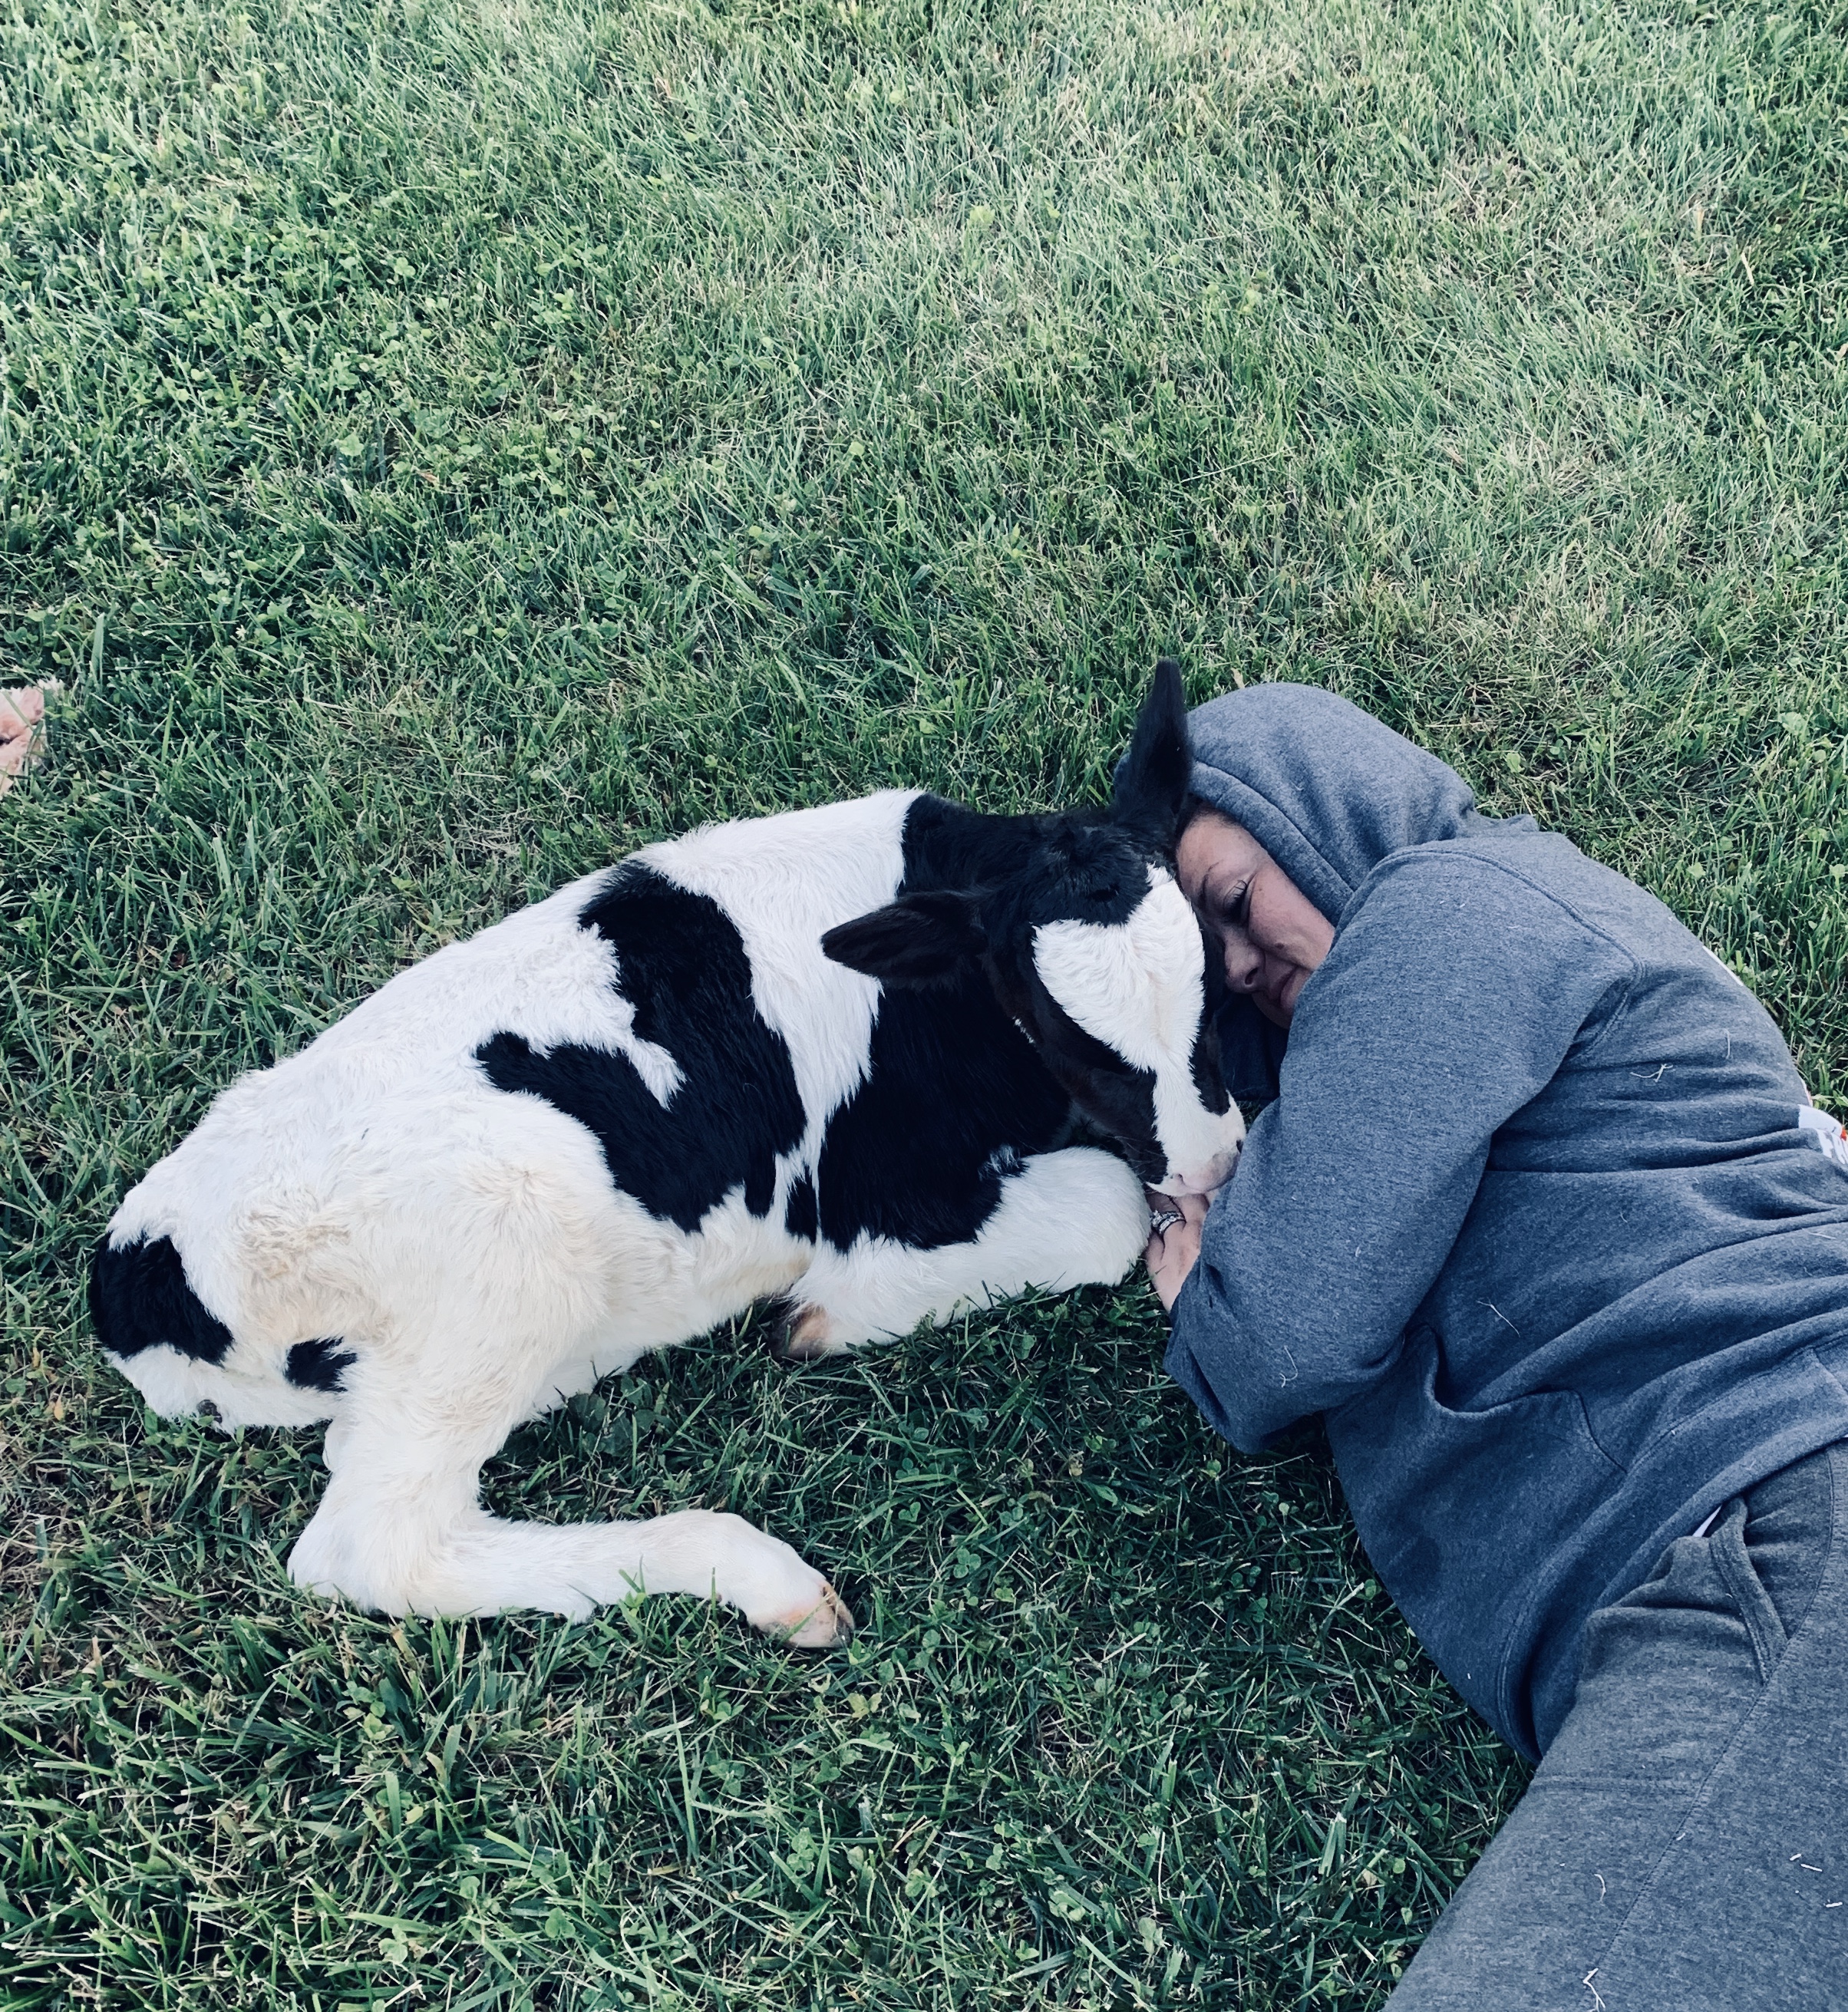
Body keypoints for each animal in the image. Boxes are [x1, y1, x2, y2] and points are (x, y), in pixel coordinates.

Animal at [89, 662, 1243, 1645]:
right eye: (1064, 1036)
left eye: (1217, 984)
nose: (1216, 1166)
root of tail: (140, 1267)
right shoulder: (881, 1194)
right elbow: (1105, 1209)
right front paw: (818, 1315)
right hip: (507, 1239)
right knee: (377, 1547)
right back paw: (761, 1577)